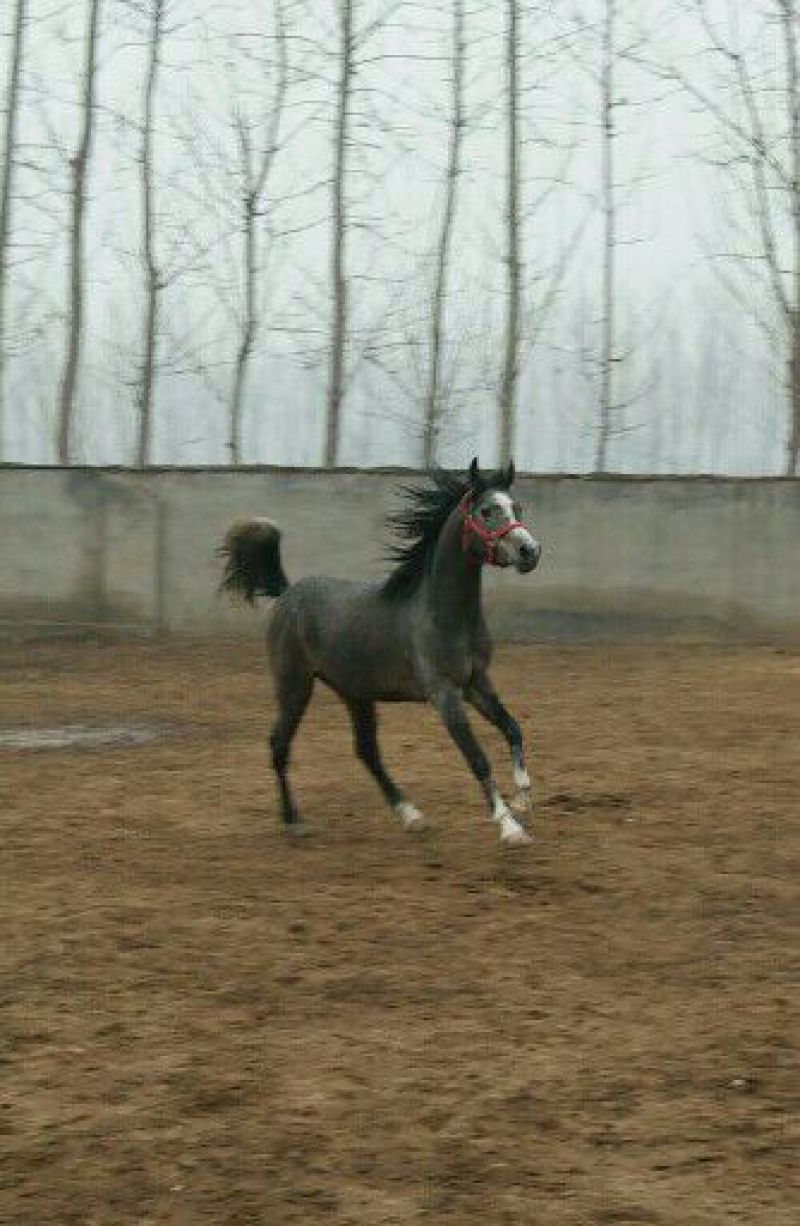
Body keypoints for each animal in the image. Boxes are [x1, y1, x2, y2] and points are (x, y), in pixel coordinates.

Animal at [219, 458, 542, 846]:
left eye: (517, 507)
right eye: (487, 511)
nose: (530, 552)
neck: (442, 614)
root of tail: (287, 593)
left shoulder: (477, 683)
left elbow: (512, 728)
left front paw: (523, 797)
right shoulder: (444, 694)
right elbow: (477, 758)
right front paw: (511, 828)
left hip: (354, 693)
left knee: (366, 751)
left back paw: (411, 815)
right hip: (294, 686)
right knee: (279, 745)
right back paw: (294, 821)